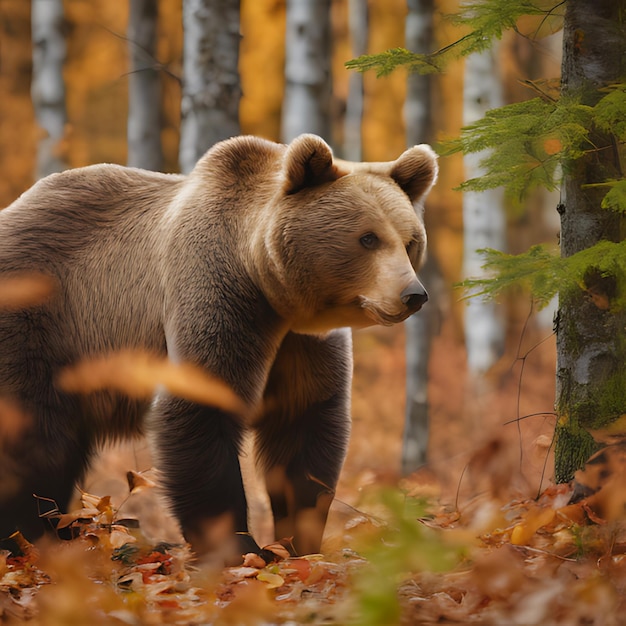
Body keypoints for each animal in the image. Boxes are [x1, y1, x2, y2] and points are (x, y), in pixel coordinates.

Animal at [0, 133, 434, 560]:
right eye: (368, 238)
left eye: (411, 241)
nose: (413, 295)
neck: (269, 290)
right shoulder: (217, 294)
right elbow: (200, 406)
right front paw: (241, 547)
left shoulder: (304, 343)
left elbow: (304, 423)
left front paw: (299, 542)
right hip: (40, 316)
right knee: (33, 434)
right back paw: (29, 537)